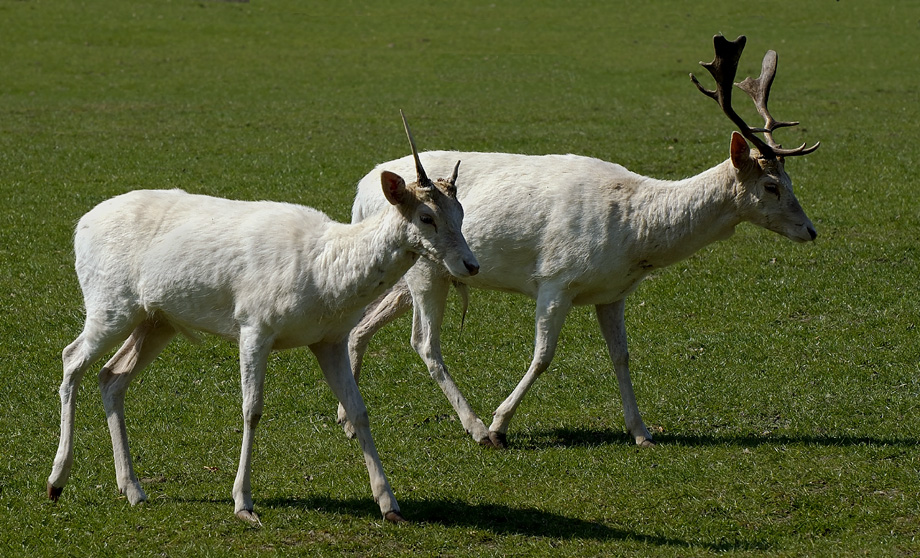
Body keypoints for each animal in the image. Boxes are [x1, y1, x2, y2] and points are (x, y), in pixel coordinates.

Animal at [45, 112, 478, 524]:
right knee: (71, 358)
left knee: (112, 376)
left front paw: (390, 504)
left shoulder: (329, 339)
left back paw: (132, 488)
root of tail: (81, 224)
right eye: (425, 216)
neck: (323, 274)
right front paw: (243, 503)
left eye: (460, 212)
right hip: (109, 304)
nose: (470, 264)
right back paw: (56, 481)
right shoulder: (254, 325)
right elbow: (251, 409)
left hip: (157, 320)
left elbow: (358, 409)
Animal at [338, 36, 820, 450]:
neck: (635, 232)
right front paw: (499, 425)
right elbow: (543, 355)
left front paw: (642, 432)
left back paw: (346, 420)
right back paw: (474, 427)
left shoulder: (614, 292)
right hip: (426, 269)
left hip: (410, 275)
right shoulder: (556, 277)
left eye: (791, 180)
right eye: (772, 185)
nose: (812, 230)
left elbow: (622, 356)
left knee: (361, 324)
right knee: (424, 343)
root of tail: (363, 190)